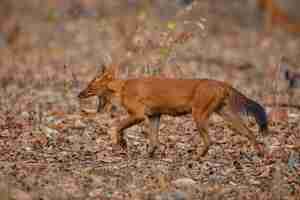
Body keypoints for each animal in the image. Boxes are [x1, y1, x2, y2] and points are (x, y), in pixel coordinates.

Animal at [78, 65, 268, 159]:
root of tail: (222, 83)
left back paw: (196, 158)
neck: (122, 88)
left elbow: (117, 126)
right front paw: (149, 155)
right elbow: (154, 140)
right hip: (226, 115)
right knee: (249, 132)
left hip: (198, 115)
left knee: (209, 140)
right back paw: (262, 154)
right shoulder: (154, 116)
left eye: (90, 85)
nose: (78, 93)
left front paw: (123, 143)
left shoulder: (138, 115)